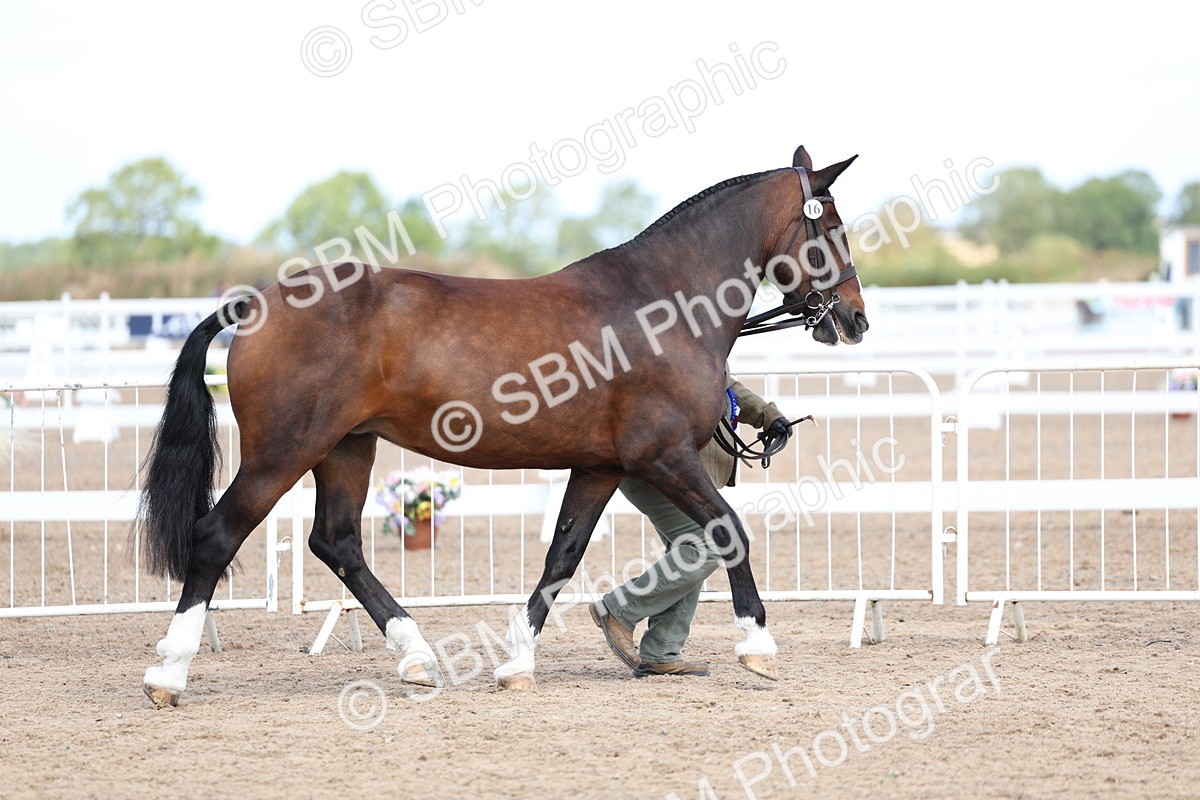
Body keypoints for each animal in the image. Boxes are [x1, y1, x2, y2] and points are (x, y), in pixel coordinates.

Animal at [138, 145, 868, 706]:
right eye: (831, 225)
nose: (856, 319)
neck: (663, 304)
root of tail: (255, 303)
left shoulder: (601, 466)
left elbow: (562, 557)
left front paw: (517, 663)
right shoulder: (663, 456)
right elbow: (729, 530)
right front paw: (759, 645)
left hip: (346, 448)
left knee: (337, 542)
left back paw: (416, 657)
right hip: (282, 454)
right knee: (218, 537)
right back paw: (168, 674)